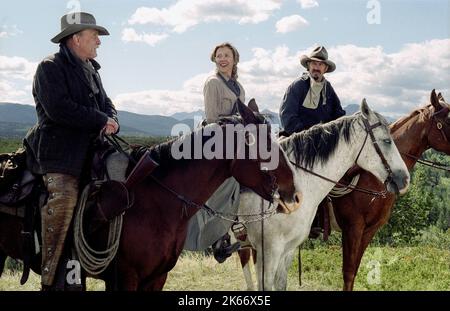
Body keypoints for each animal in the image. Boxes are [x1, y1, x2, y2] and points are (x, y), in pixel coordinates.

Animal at [330, 89, 450, 292]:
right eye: (449, 120)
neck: (373, 175)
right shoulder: (353, 227)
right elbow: (348, 273)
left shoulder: (369, 229)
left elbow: (354, 271)